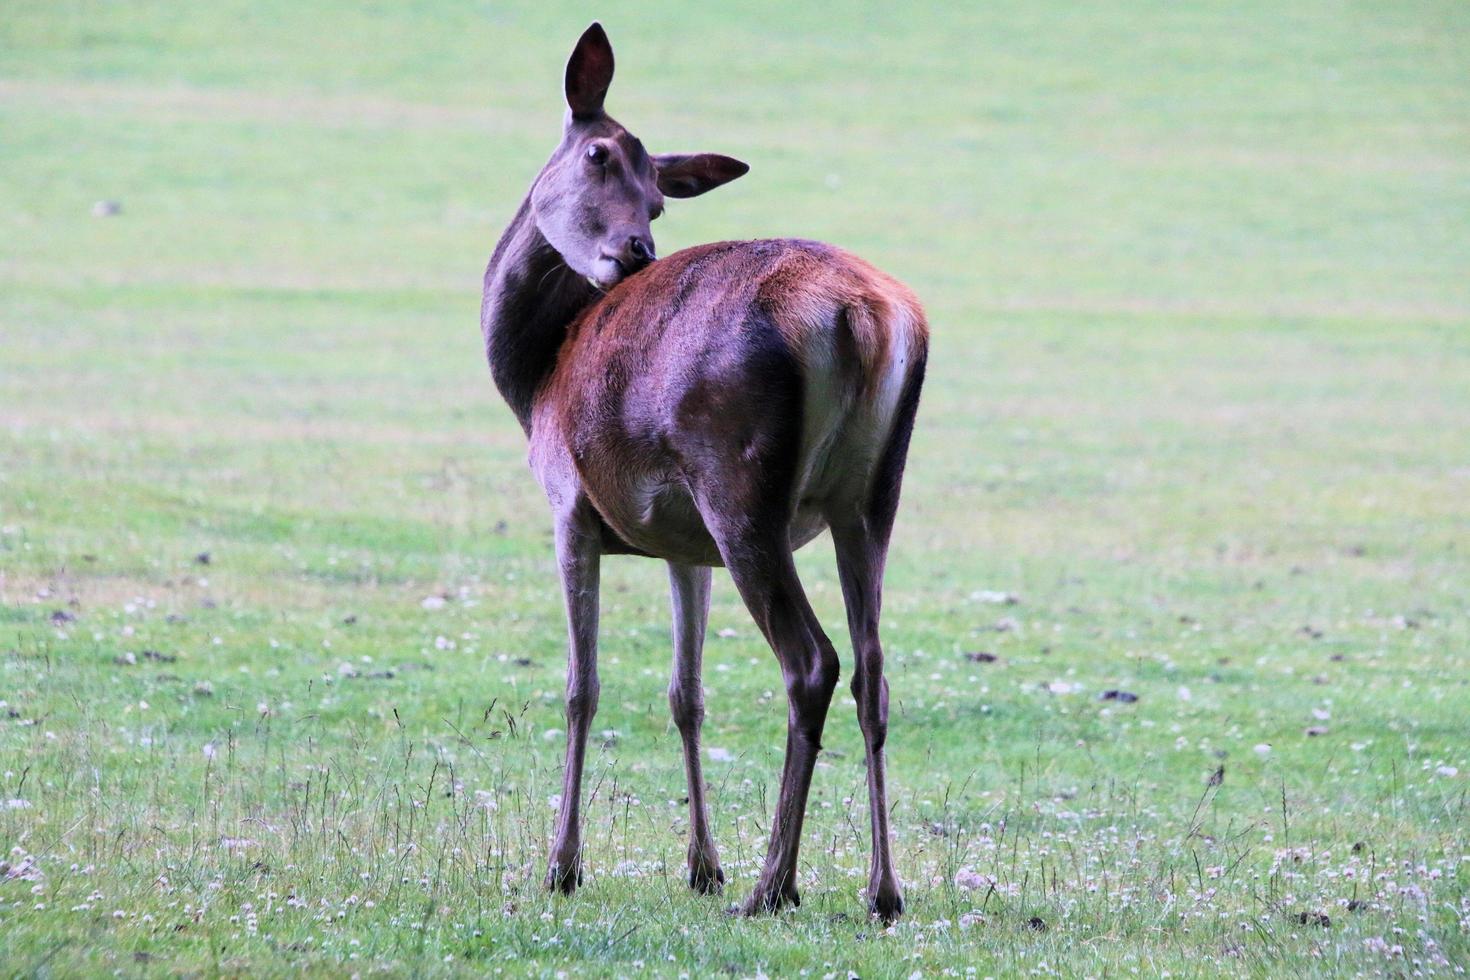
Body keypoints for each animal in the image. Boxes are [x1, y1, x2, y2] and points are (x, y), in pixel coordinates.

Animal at [482, 26, 929, 922]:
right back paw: (881, 889)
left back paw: (773, 885)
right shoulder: (684, 547)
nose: (636, 249)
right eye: (599, 155)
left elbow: (582, 685)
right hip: (872, 494)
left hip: (742, 487)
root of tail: (867, 317)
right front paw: (700, 865)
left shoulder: (568, 506)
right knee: (874, 670)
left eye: (658, 199)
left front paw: (562, 865)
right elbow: (686, 695)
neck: (535, 378)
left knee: (812, 661)